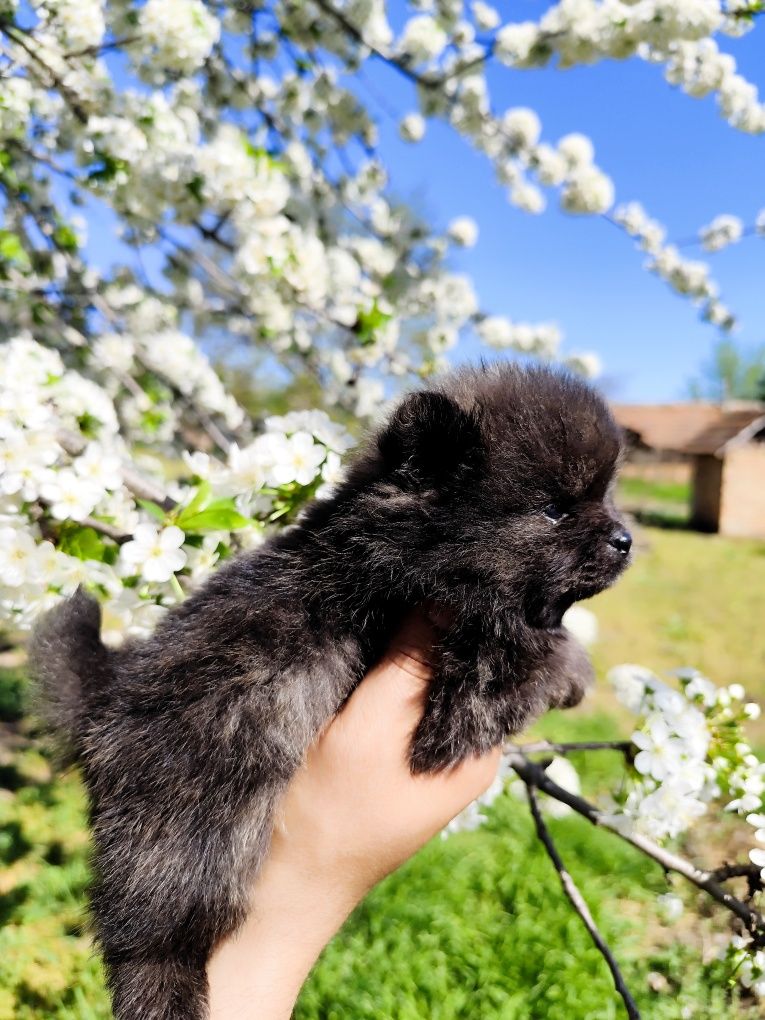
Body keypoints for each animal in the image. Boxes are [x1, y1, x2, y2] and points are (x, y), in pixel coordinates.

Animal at [29, 365, 632, 1020]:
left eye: (606, 498)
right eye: (554, 510)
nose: (625, 538)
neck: (395, 550)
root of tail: (102, 695)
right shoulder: (467, 673)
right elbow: (528, 658)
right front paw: (572, 669)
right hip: (187, 825)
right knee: (147, 936)